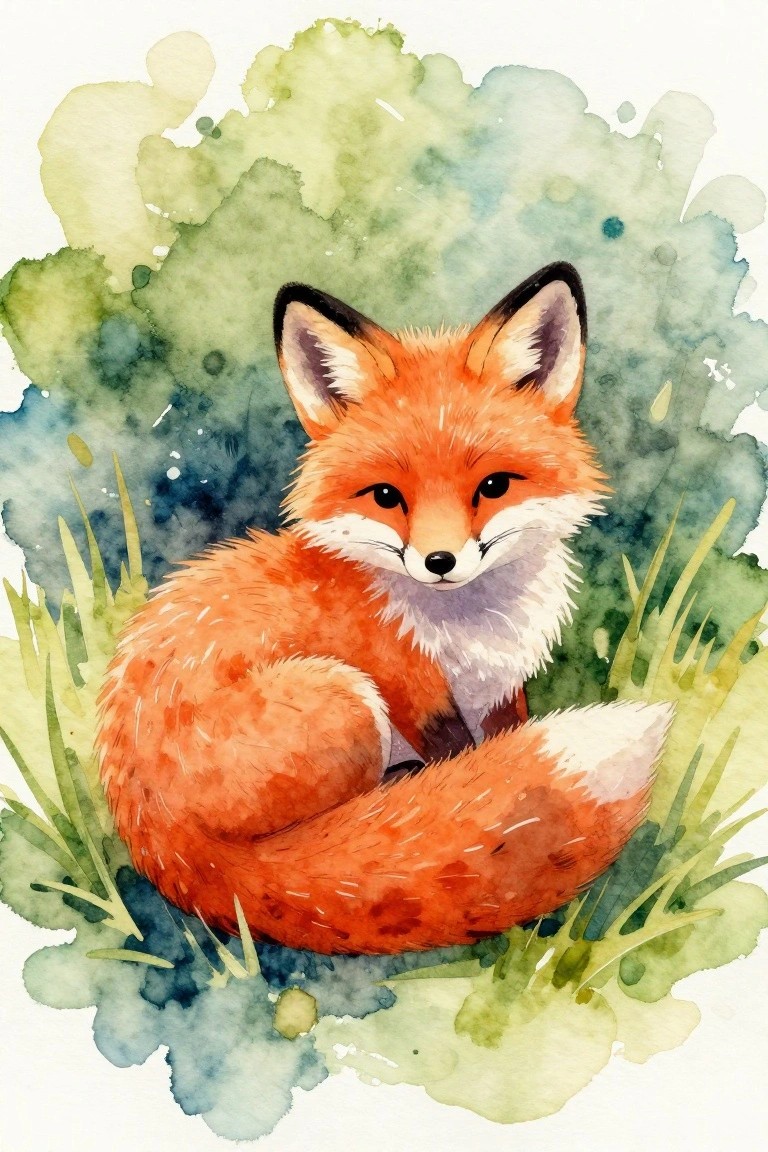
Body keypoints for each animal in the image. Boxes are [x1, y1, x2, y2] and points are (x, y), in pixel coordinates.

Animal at [95, 263, 672, 955]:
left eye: (493, 486)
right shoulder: (406, 682)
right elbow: (458, 761)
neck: (467, 629)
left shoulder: (500, 692)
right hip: (344, 698)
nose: (440, 560)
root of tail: (165, 847)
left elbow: (499, 748)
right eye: (387, 496)